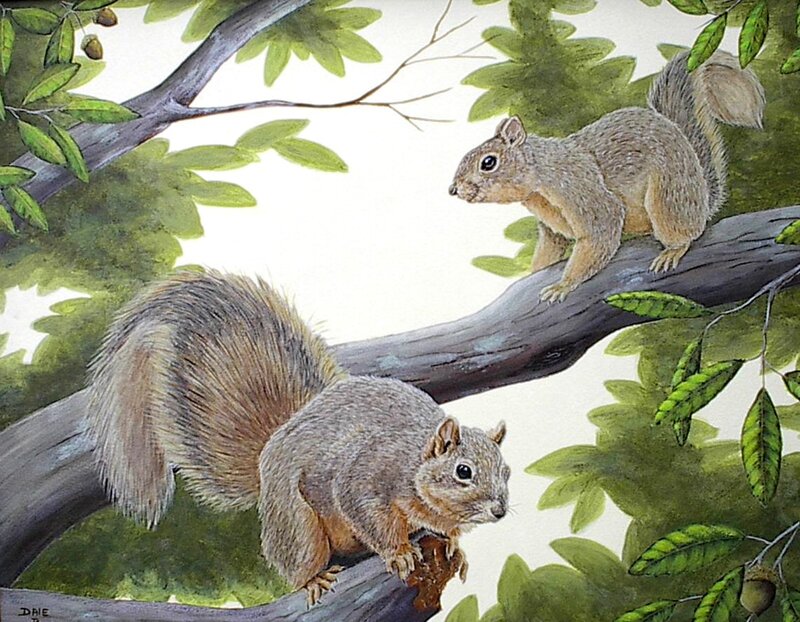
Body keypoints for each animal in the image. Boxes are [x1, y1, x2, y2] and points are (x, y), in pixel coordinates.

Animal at [86, 270, 510, 606]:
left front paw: (454, 545)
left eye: (506, 472)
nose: (500, 511)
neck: (414, 464)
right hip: (297, 524)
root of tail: (268, 454)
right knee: (296, 560)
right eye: (464, 471)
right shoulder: (366, 478)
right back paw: (314, 579)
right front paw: (399, 553)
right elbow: (366, 513)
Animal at [449, 51, 766, 302]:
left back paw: (674, 250)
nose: (453, 189)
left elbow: (601, 230)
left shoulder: (581, 189)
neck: (539, 181)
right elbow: (550, 249)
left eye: (488, 162)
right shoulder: (551, 226)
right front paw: (533, 272)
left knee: (686, 230)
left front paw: (564, 285)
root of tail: (702, 193)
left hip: (669, 196)